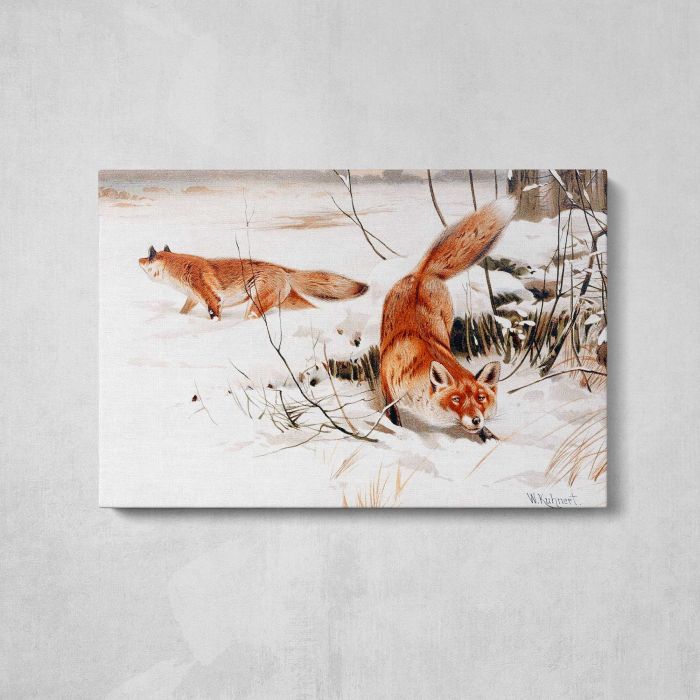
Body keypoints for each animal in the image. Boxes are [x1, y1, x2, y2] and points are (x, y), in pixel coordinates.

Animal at [138, 245, 368, 320]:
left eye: (147, 257)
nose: (137, 260)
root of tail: (282, 269)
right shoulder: (193, 299)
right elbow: (183, 312)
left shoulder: (212, 300)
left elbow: (215, 317)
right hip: (287, 302)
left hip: (255, 305)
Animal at [379, 197, 517, 438]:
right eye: (456, 399)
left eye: (481, 398)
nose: (476, 419)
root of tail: (422, 274)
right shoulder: (388, 384)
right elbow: (392, 415)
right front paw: (398, 431)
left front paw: (489, 437)